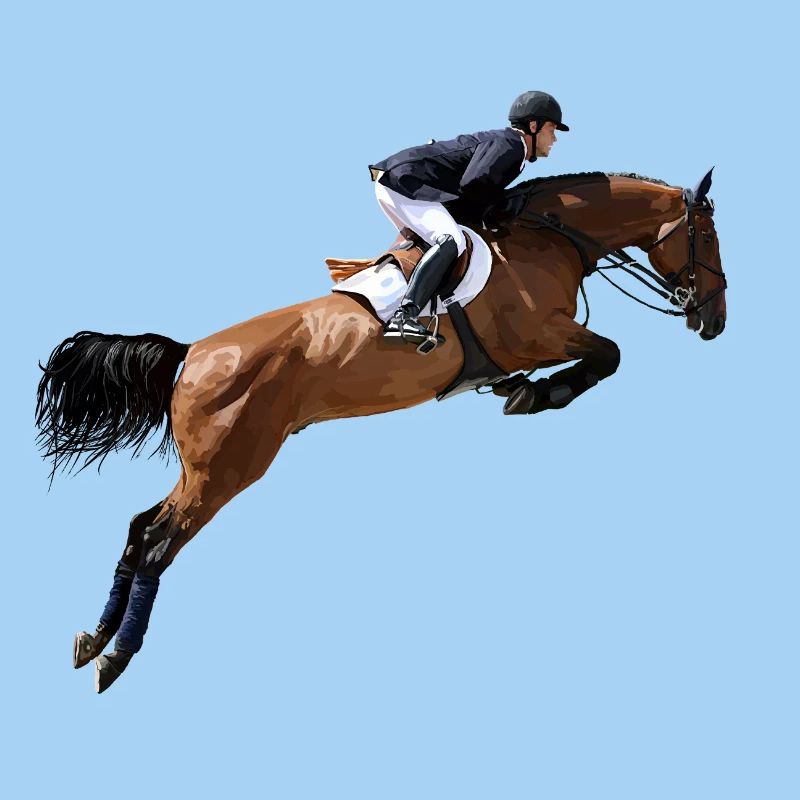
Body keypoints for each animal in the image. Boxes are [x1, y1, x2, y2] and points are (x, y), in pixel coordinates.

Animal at [35, 170, 727, 692]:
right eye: (707, 237)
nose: (714, 320)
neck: (545, 239)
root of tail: (192, 352)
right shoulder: (540, 333)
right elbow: (609, 354)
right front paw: (536, 394)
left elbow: (604, 356)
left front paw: (522, 391)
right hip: (229, 469)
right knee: (158, 542)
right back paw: (114, 658)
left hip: (203, 468)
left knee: (139, 527)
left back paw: (93, 639)